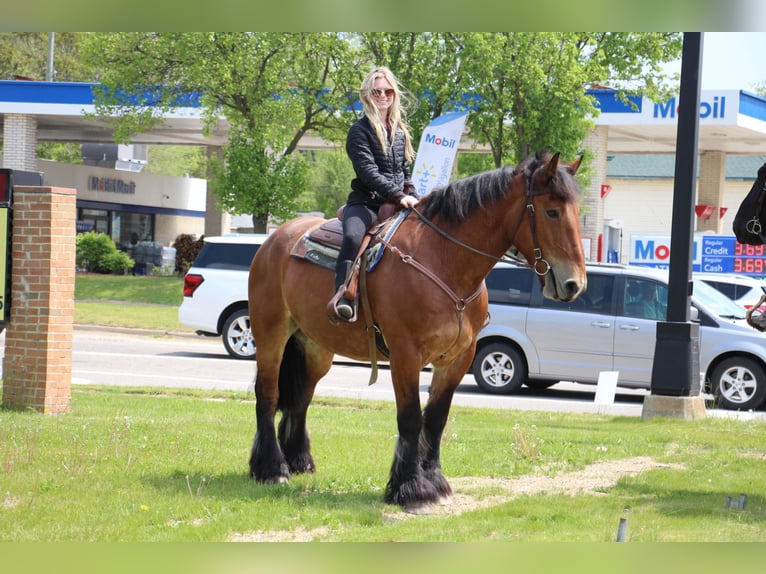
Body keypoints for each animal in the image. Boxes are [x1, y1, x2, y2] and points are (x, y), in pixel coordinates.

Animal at [246, 150, 588, 512]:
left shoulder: (457, 359)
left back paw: (299, 460)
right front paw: (411, 488)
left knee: (301, 399)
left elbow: (436, 420)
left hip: (315, 348)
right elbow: (410, 418)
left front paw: (434, 481)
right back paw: (271, 468)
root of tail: (273, 241)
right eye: (552, 211)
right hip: (271, 336)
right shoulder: (406, 355)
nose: (574, 283)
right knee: (267, 394)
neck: (445, 262)